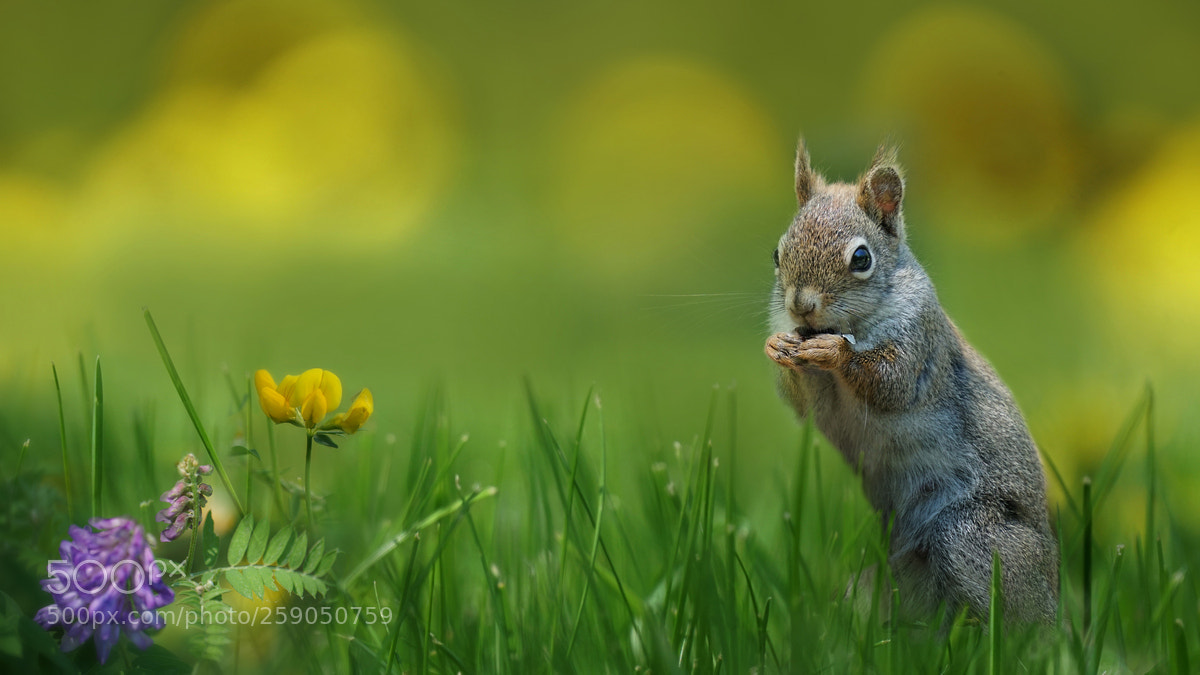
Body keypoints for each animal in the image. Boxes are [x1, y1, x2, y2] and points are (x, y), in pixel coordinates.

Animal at [764, 140, 1058, 624]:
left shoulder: (920, 341)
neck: (848, 324)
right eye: (776, 252)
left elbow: (891, 382)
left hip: (969, 538)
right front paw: (778, 346)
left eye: (861, 258)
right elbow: (810, 406)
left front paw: (835, 353)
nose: (801, 305)